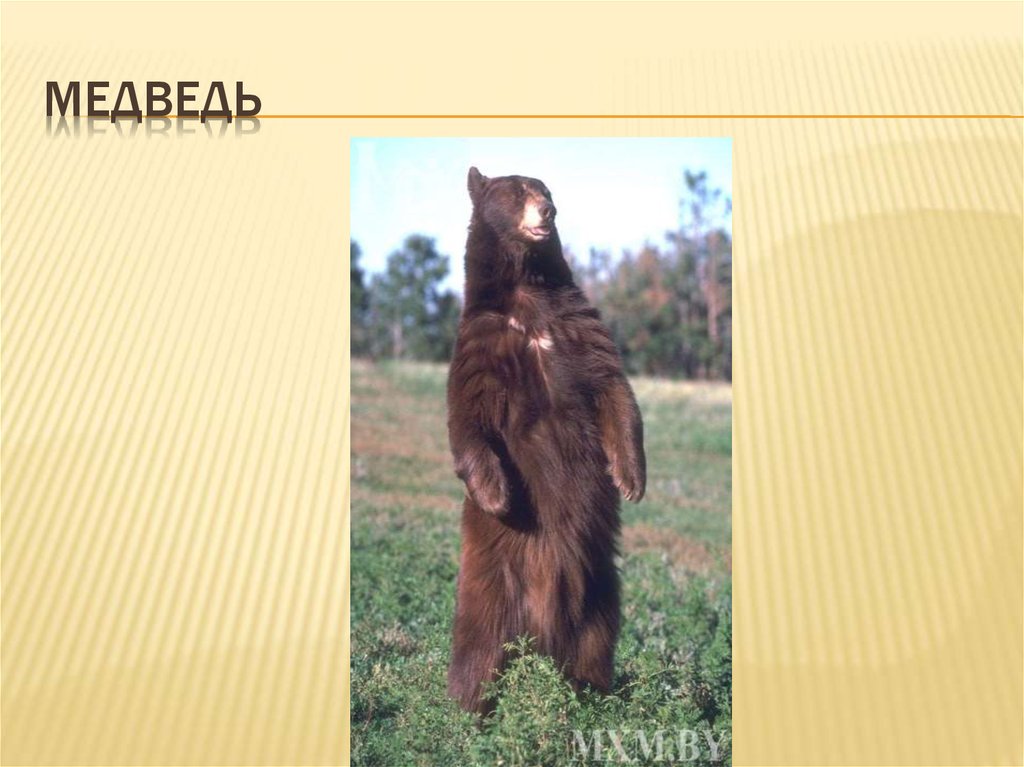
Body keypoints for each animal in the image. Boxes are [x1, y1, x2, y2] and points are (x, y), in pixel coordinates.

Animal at [446, 167, 646, 714]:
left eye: (546, 190)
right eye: (517, 192)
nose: (549, 210)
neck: (527, 293)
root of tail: (540, 636)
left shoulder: (576, 327)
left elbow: (613, 387)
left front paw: (630, 478)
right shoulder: (481, 345)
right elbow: (468, 420)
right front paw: (499, 495)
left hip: (600, 592)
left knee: (595, 644)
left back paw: (593, 697)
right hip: (493, 583)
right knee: (478, 649)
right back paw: (466, 710)